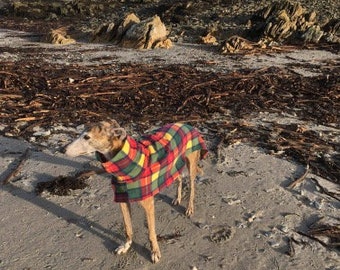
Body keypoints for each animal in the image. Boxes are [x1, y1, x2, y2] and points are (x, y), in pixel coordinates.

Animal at [63, 119, 207, 262]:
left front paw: (155, 252)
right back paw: (177, 198)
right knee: (179, 179)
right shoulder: (122, 200)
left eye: (87, 137)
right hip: (173, 165)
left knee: (192, 186)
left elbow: (151, 232)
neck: (125, 164)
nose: (62, 149)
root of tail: (186, 124)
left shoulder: (148, 205)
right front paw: (126, 246)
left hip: (191, 164)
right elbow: (128, 228)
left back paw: (189, 208)